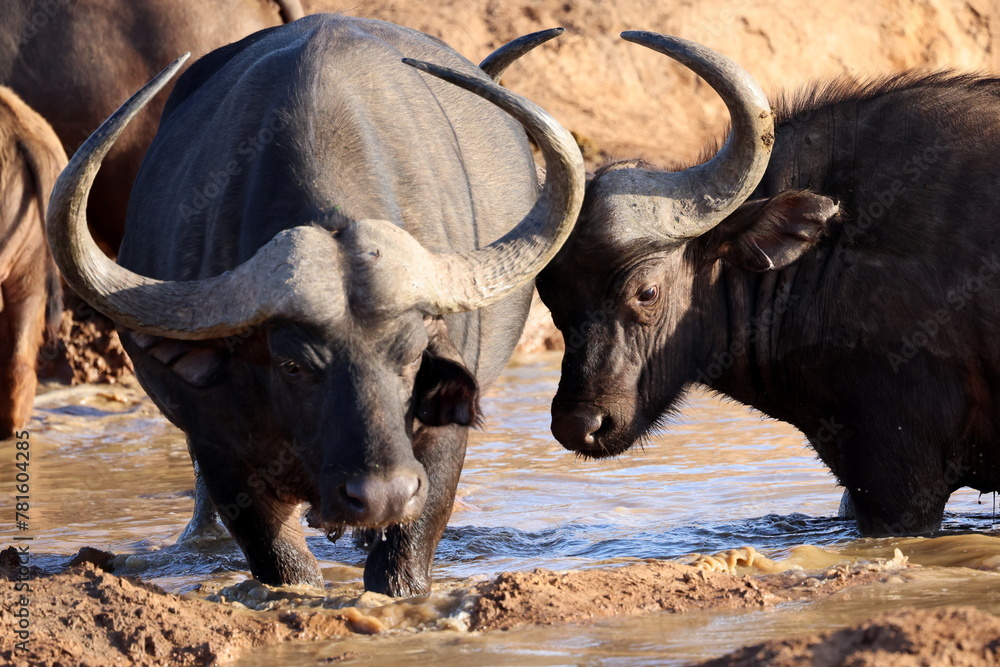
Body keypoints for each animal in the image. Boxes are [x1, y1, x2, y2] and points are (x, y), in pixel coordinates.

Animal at [48, 15, 584, 596]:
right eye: (292, 365)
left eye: (411, 356)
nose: (382, 494)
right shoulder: (222, 450)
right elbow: (283, 563)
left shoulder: (439, 441)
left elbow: (403, 561)